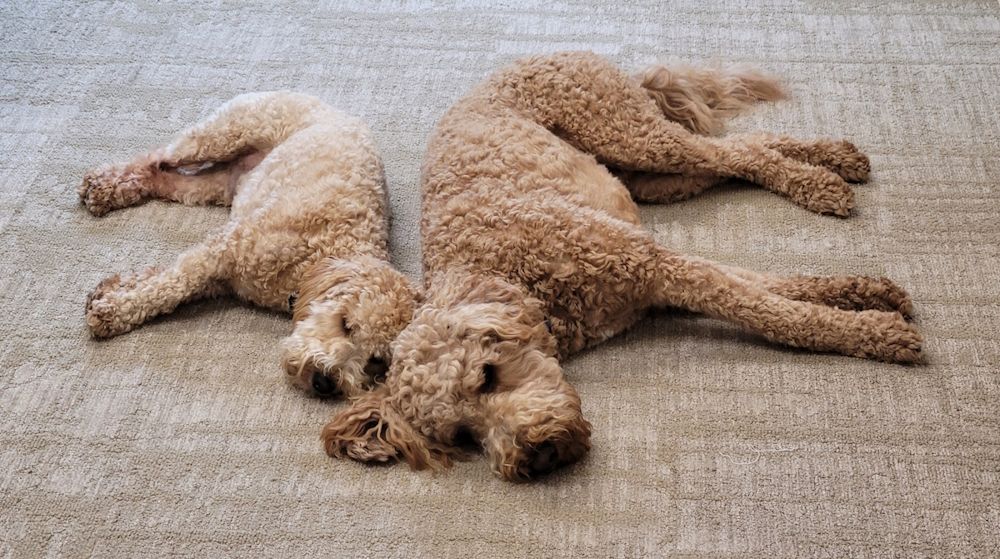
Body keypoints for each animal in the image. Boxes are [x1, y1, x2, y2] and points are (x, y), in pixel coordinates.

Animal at [80, 92, 418, 398]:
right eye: (345, 324)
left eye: (376, 361)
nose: (324, 382)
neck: (313, 259)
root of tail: (332, 106)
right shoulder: (223, 250)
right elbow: (168, 286)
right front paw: (113, 311)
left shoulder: (218, 277)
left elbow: (168, 282)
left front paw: (112, 290)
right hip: (220, 136)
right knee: (157, 157)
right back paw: (103, 185)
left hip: (218, 185)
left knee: (163, 177)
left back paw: (111, 191)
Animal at [324, 52, 924, 482]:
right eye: (461, 436)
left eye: (488, 376)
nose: (534, 456)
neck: (523, 276)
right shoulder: (664, 280)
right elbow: (766, 287)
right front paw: (869, 297)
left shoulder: (656, 264)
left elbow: (773, 313)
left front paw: (872, 333)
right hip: (649, 176)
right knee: (738, 153)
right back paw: (833, 160)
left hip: (631, 135)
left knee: (733, 152)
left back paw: (822, 181)